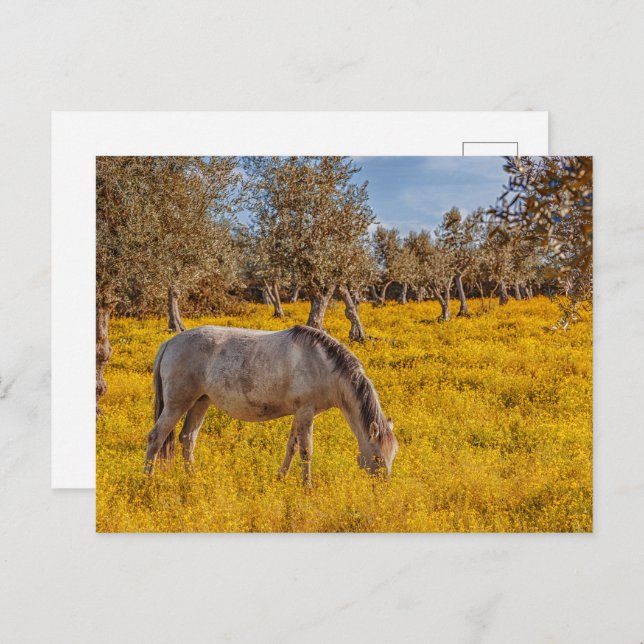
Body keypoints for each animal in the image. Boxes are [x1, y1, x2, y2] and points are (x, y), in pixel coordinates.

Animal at [144, 324, 398, 485]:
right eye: (377, 457)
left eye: (393, 455)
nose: (383, 486)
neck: (323, 364)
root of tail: (170, 343)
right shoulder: (306, 412)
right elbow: (306, 451)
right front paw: (307, 487)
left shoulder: (300, 413)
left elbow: (292, 447)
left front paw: (281, 477)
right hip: (177, 405)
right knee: (156, 437)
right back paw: (148, 479)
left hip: (200, 403)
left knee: (188, 439)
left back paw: (193, 478)